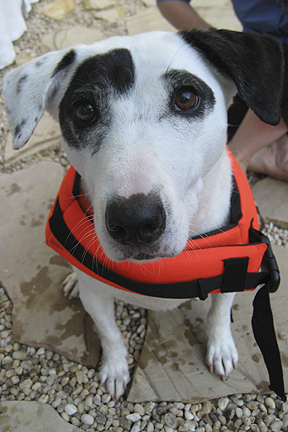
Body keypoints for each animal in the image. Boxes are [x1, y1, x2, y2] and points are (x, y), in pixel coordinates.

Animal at [3, 29, 284, 398]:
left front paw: (221, 347)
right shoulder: (97, 297)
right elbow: (109, 333)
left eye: (186, 97)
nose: (135, 221)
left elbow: (220, 313)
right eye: (84, 109)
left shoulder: (236, 269)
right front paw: (115, 368)